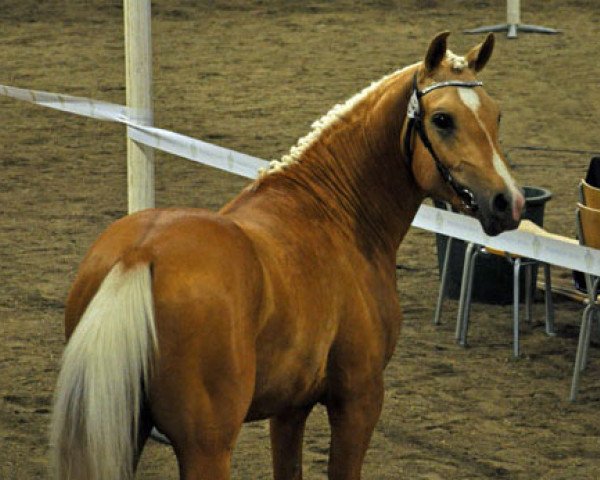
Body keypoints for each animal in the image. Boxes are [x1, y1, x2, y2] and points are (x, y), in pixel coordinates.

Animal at [50, 31, 520, 478]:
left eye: (497, 114)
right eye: (442, 119)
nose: (507, 203)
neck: (334, 213)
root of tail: (139, 254)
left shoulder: (290, 409)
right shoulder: (358, 399)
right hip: (207, 450)